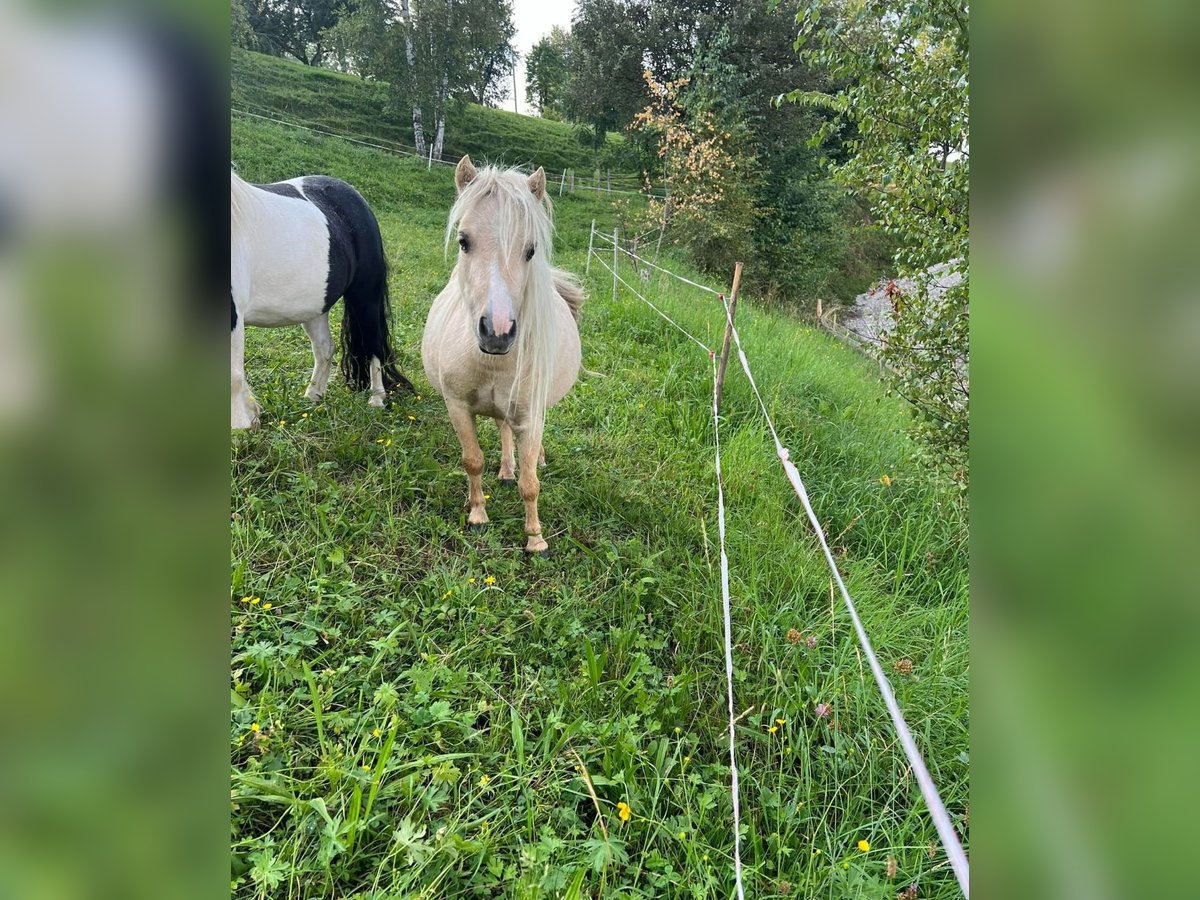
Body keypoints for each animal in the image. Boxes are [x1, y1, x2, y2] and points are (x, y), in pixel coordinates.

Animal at [229, 174, 412, 434]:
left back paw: (376, 398)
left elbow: (232, 375)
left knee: (372, 345)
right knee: (325, 348)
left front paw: (241, 426)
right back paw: (313, 396)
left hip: (364, 296)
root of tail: (356, 198)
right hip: (315, 308)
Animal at [422, 160, 585, 556]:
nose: (497, 332)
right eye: (463, 241)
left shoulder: (531, 413)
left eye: (531, 250)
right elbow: (473, 461)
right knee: (503, 430)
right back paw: (506, 470)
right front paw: (478, 514)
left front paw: (536, 539)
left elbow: (531, 482)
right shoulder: (457, 406)